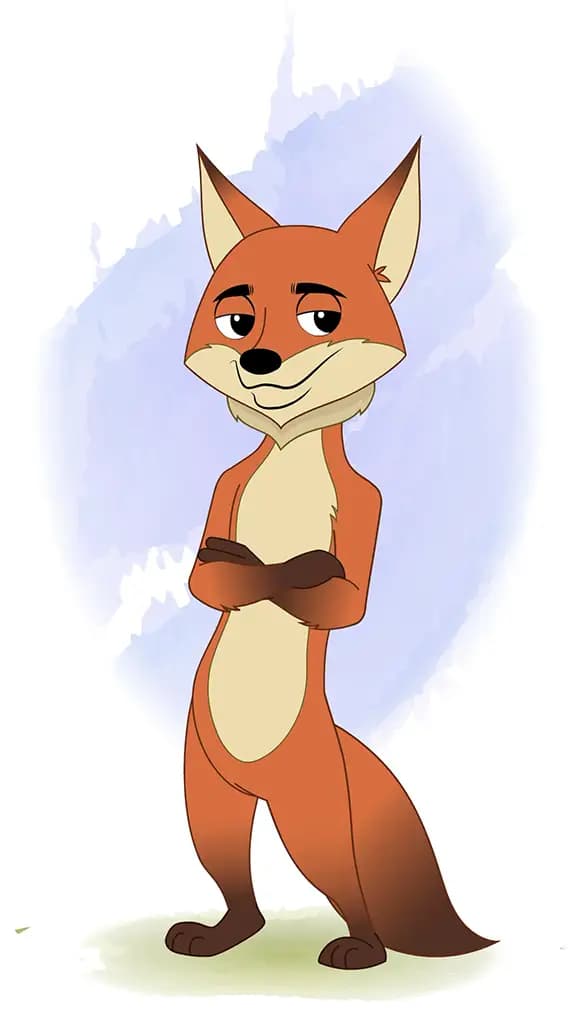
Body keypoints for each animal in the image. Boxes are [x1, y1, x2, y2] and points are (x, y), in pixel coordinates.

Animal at [164, 140, 497, 970]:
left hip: (308, 811)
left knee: (347, 884)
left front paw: (292, 569)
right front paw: (245, 564)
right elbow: (211, 575)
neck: (285, 455)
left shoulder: (368, 505)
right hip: (207, 794)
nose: (259, 358)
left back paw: (362, 950)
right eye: (237, 317)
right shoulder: (224, 487)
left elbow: (333, 593)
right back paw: (221, 934)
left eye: (321, 317)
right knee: (237, 884)